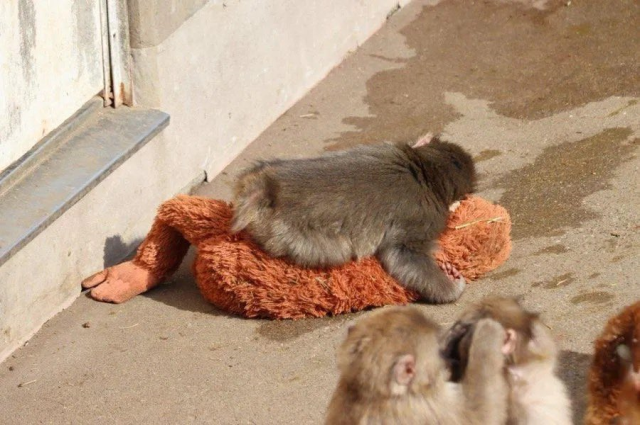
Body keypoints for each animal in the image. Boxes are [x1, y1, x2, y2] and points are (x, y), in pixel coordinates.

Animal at [231, 134, 476, 304]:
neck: (425, 170)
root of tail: (268, 188)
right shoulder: (425, 217)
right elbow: (403, 254)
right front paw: (452, 286)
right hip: (291, 234)